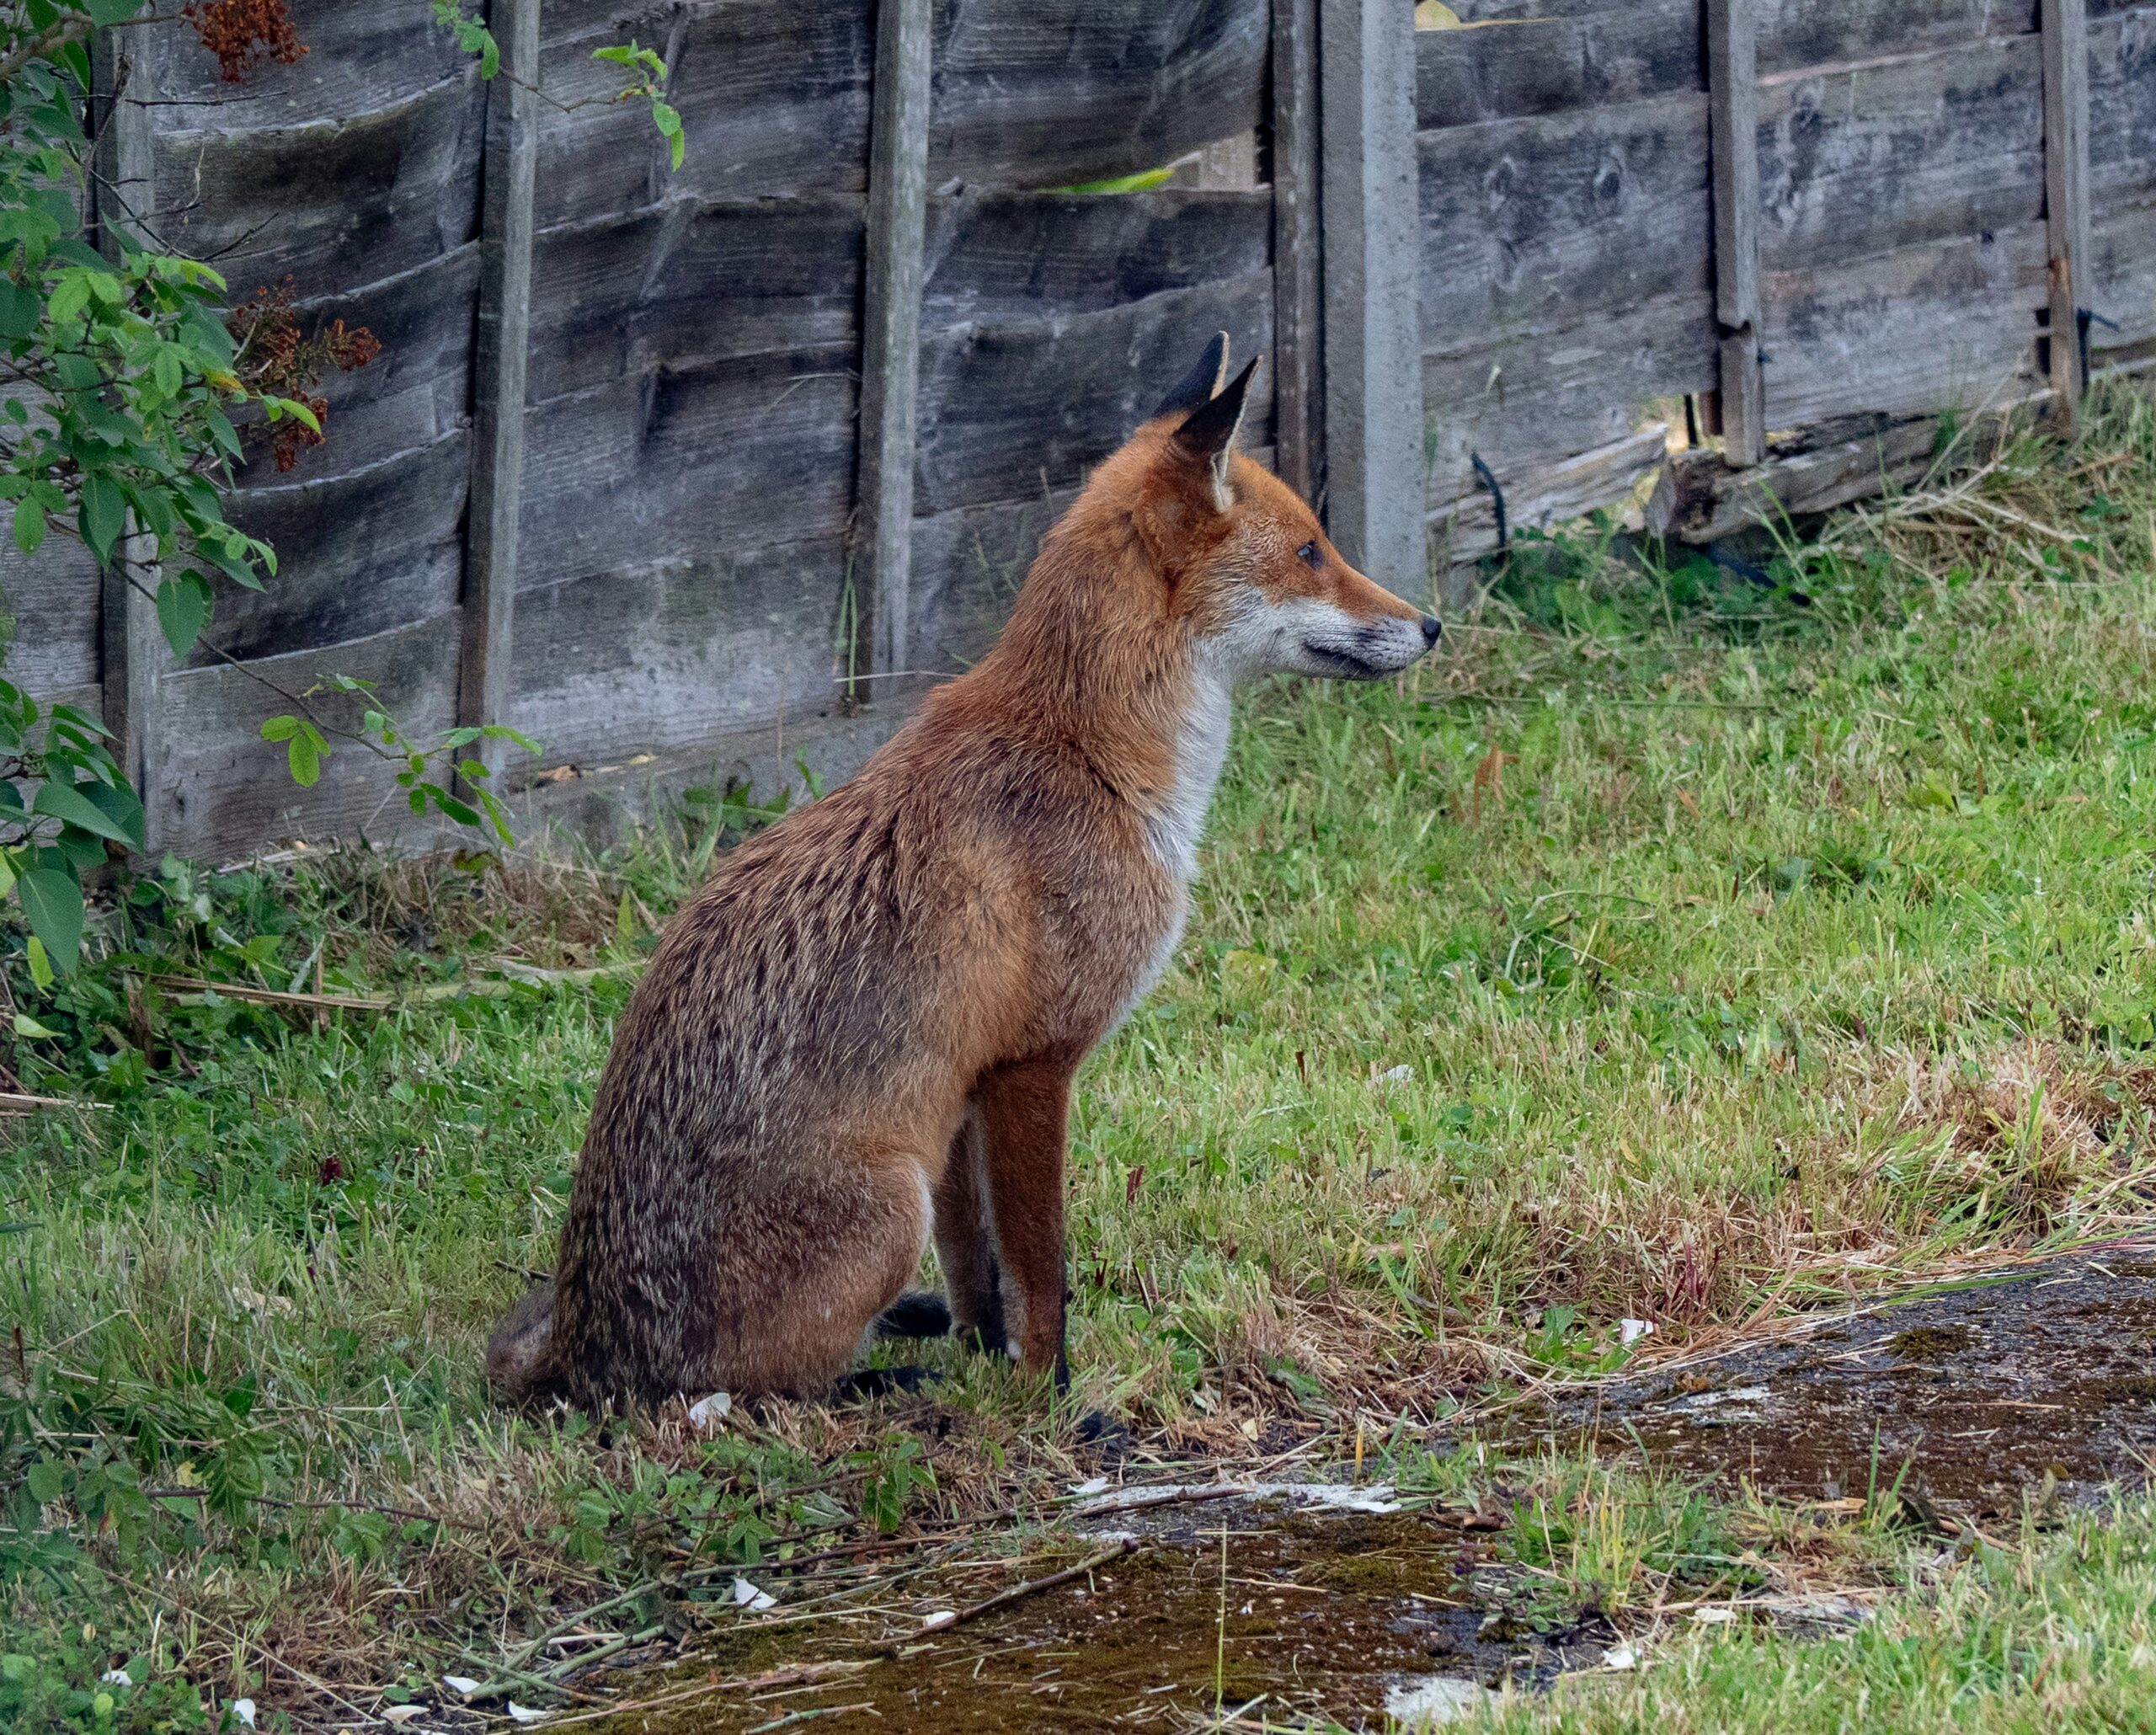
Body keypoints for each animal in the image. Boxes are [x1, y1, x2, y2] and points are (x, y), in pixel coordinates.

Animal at [487, 335, 1441, 1410]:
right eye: (1311, 550)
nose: (1431, 625)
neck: (1089, 753)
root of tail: (577, 1355)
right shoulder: (1036, 1062)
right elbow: (1042, 1266)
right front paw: (1051, 1396)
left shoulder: (961, 1084)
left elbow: (979, 1265)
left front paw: (989, 1357)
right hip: (881, 1212)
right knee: (749, 1391)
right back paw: (878, 1378)